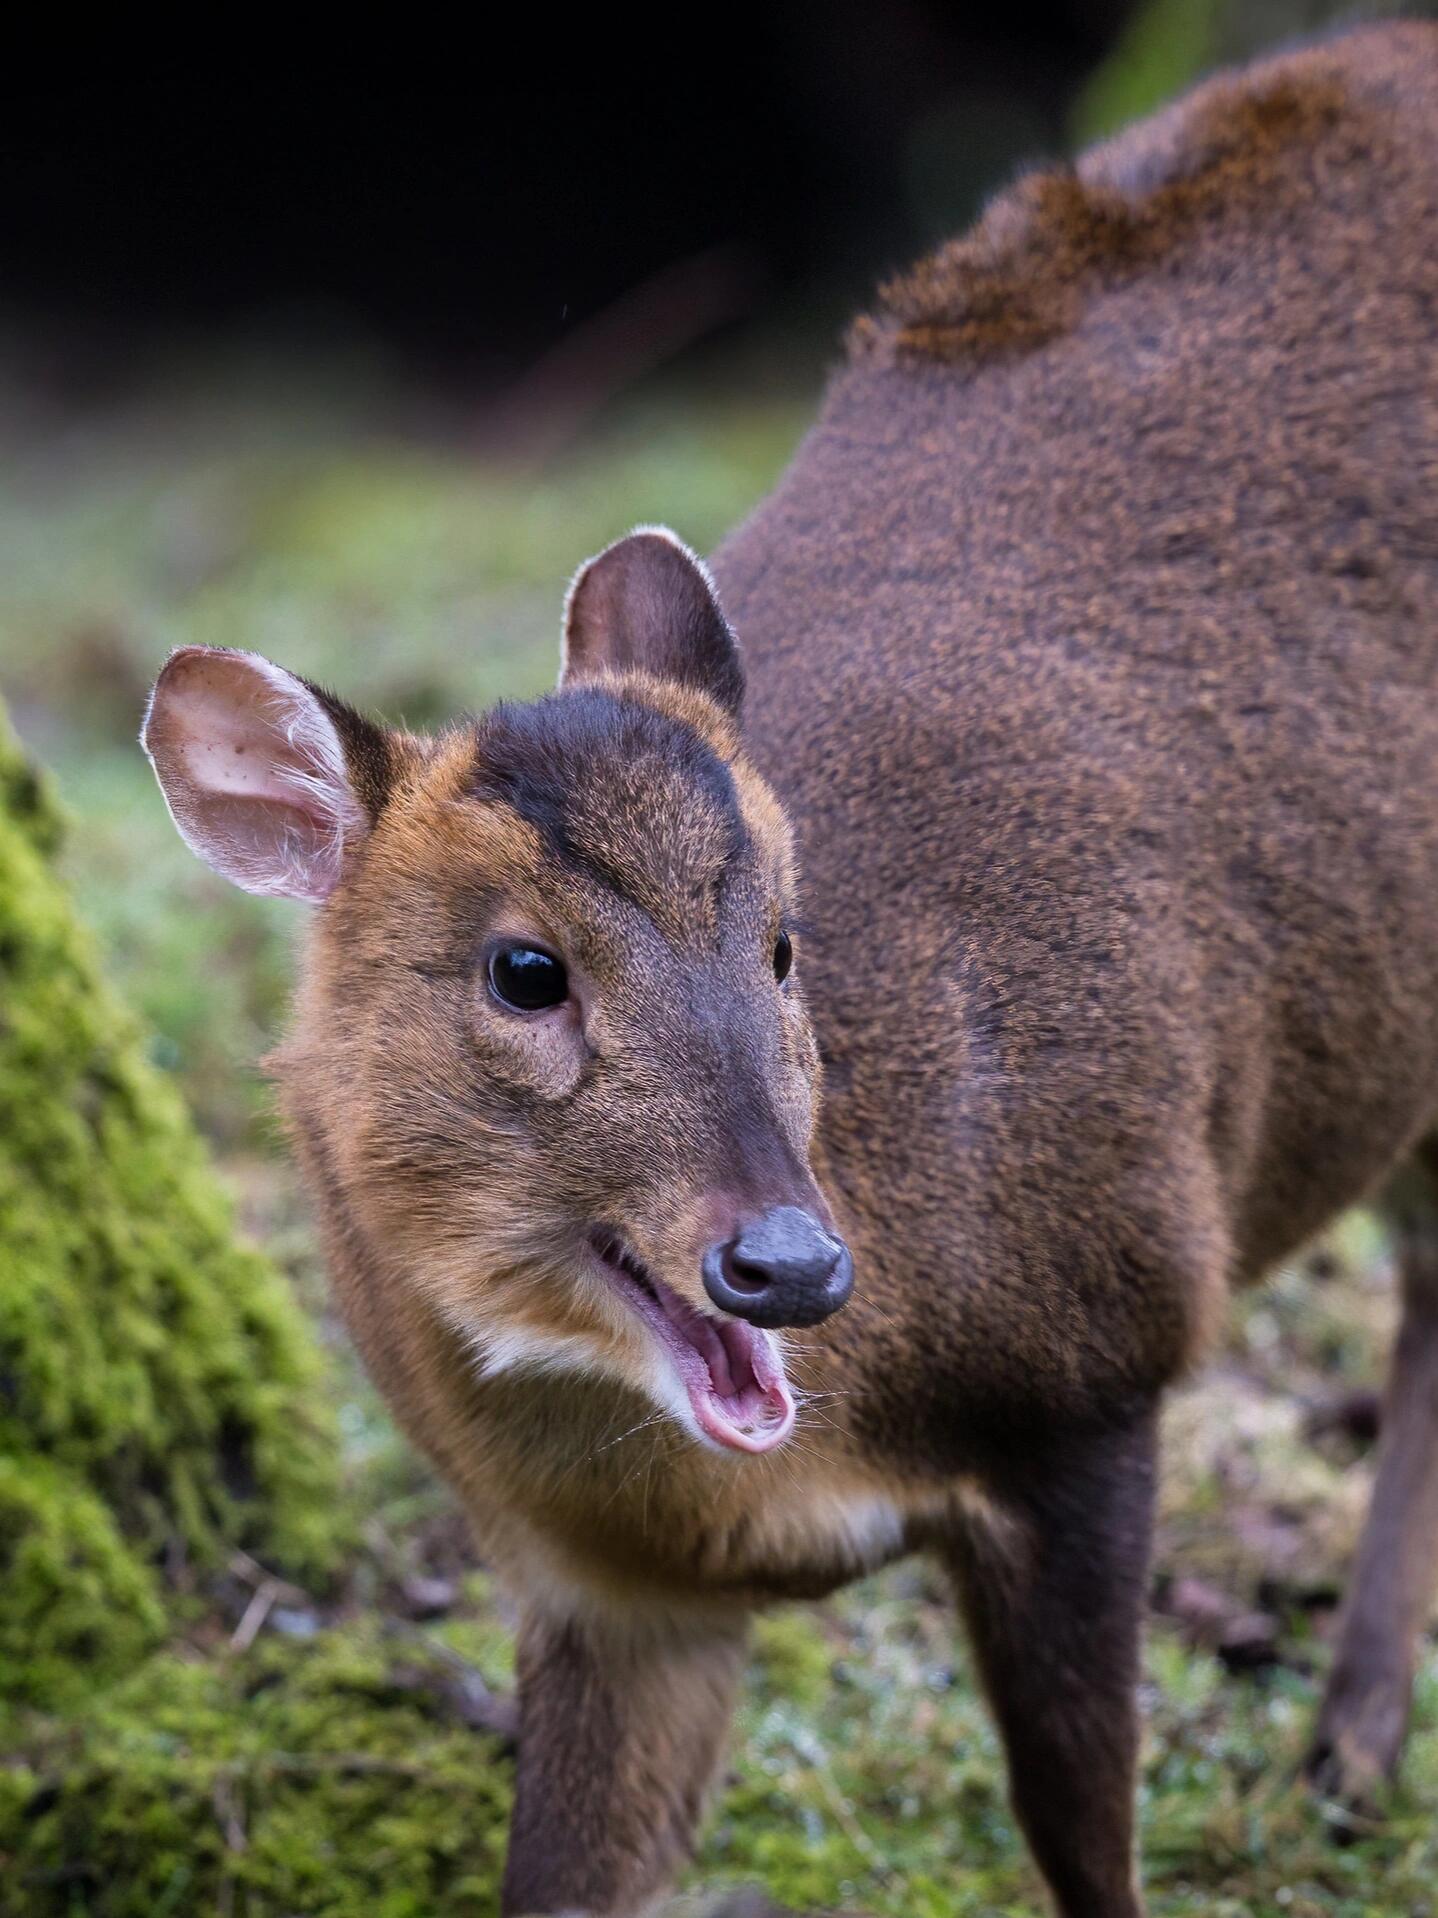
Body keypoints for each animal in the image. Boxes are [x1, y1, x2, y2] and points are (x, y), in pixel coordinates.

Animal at [146, 26, 1438, 1918]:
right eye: (523, 969)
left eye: (779, 939)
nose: (786, 1261)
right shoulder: (607, 1592)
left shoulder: (1106, 1338)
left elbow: (1082, 1835)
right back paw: (1349, 1753)